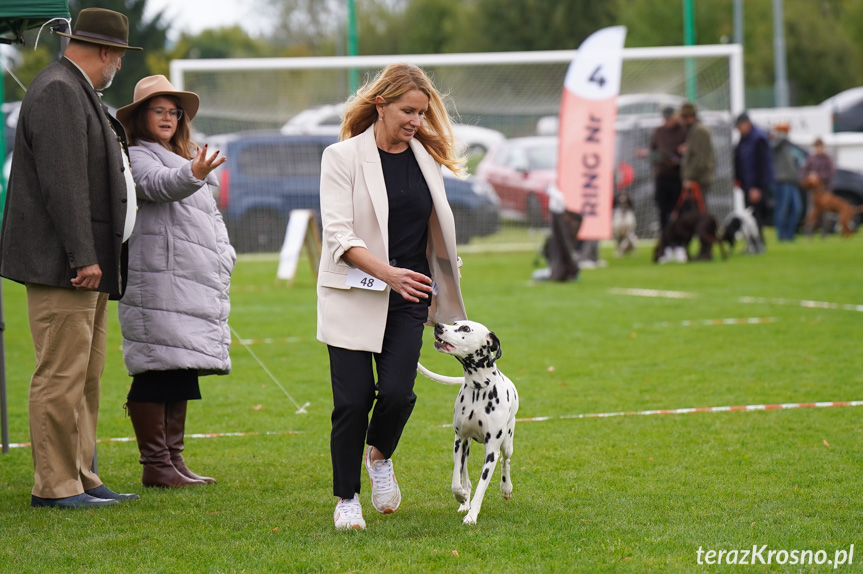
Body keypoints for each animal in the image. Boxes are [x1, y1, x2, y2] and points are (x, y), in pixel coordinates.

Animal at [416, 322, 520, 528]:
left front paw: (472, 516)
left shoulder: (491, 452)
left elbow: (481, 487)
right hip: (467, 447)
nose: (439, 325)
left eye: (465, 328)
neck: (479, 387)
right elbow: (457, 482)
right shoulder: (459, 441)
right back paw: (465, 502)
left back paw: (506, 488)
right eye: (454, 323)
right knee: (465, 476)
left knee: (506, 461)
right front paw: (462, 498)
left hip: (507, 443)